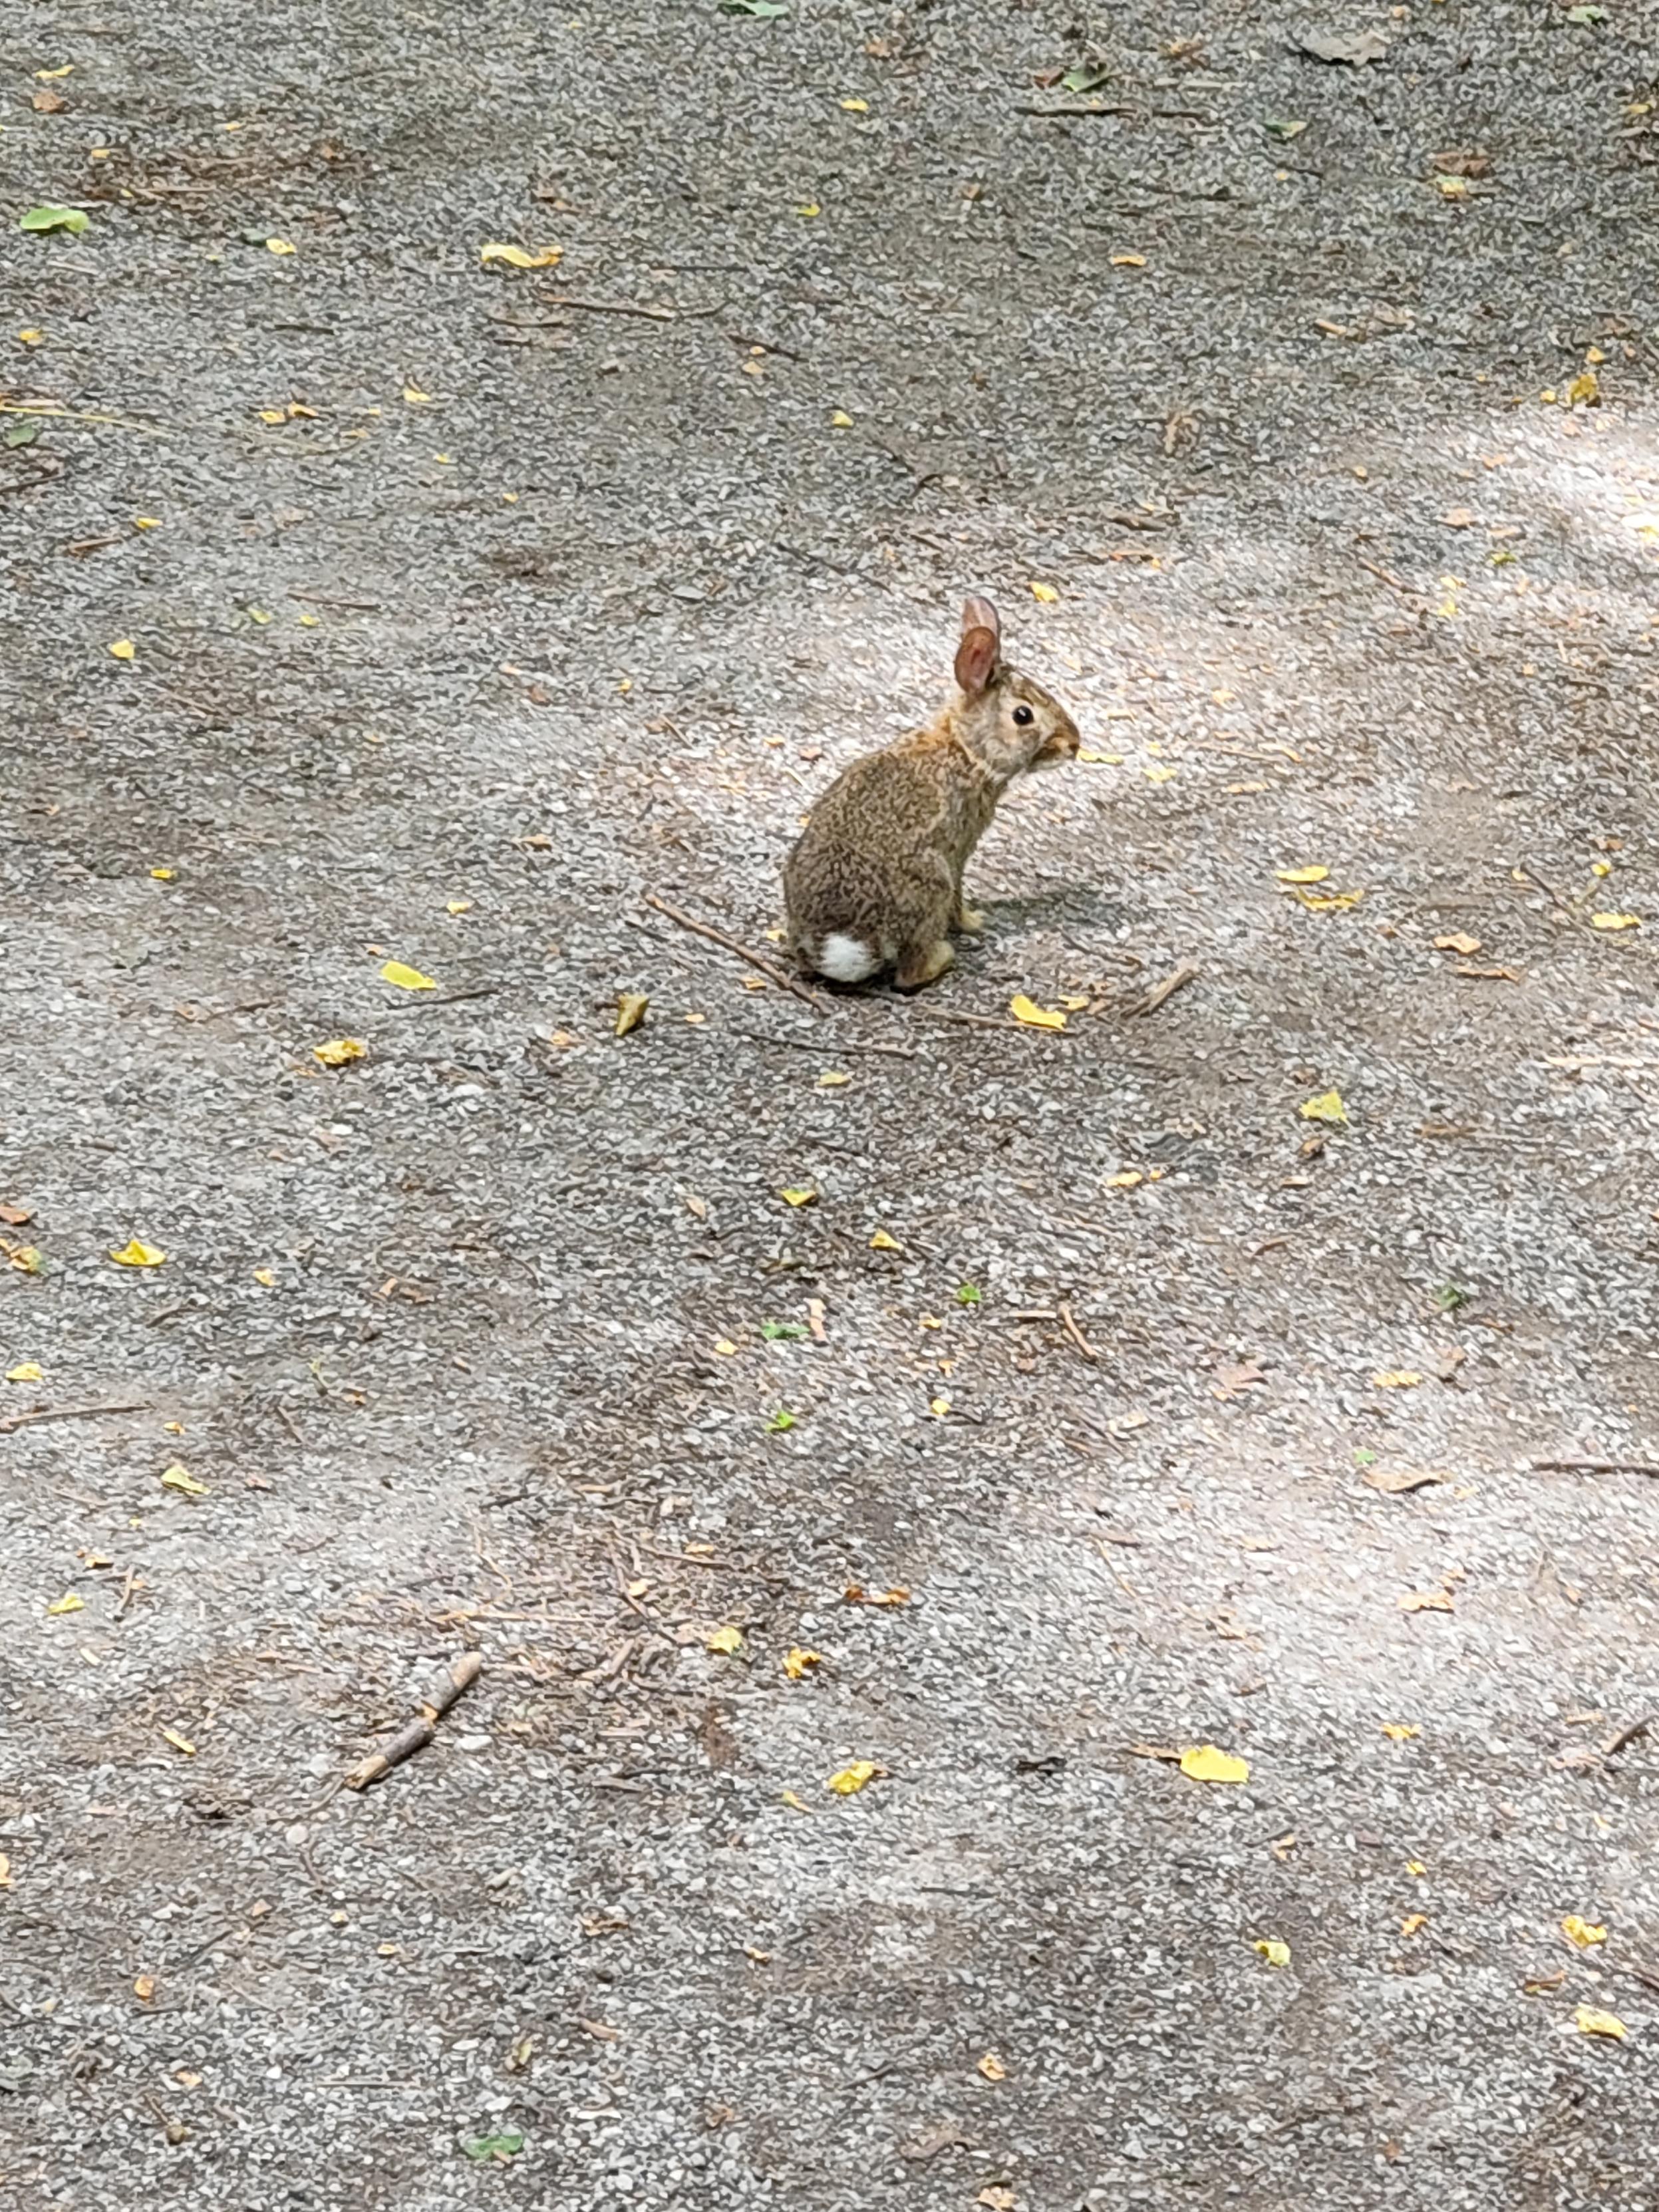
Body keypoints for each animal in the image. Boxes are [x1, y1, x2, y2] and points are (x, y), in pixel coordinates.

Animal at [783, 594, 1081, 990]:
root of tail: (841, 944)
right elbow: (959, 893)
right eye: (1023, 715)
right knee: (909, 974)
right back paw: (945, 956)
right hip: (932, 884)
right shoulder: (959, 850)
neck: (966, 751)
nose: (1074, 744)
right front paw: (974, 921)